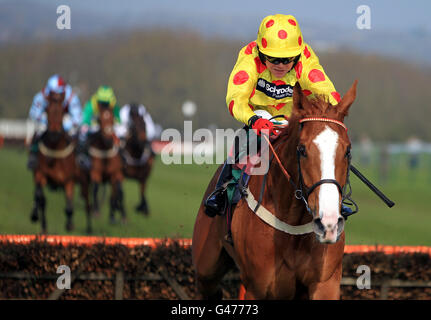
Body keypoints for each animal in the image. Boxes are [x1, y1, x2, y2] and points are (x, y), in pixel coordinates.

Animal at [30, 94, 77, 234]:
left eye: (63, 112)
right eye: (47, 110)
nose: (54, 134)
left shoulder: (69, 180)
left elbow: (69, 203)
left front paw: (69, 225)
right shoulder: (40, 174)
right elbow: (41, 199)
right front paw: (43, 226)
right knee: (37, 196)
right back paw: (34, 214)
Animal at [194, 80, 360, 300]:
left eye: (348, 150)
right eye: (302, 150)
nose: (329, 223)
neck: (293, 222)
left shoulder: (325, 284)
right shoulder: (257, 287)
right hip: (206, 265)